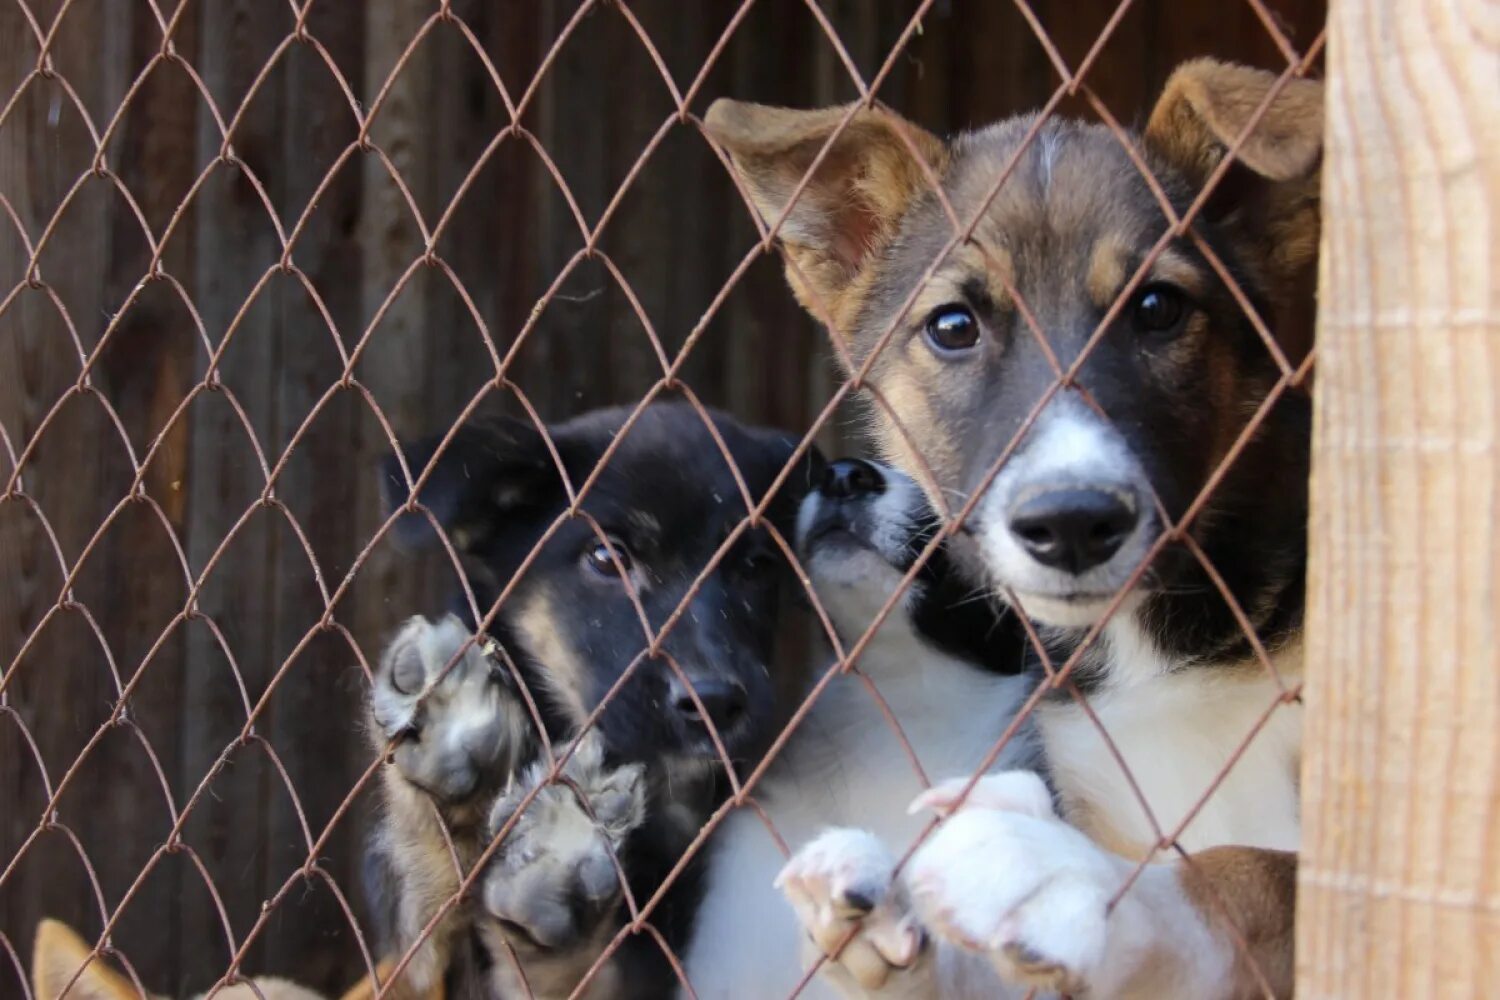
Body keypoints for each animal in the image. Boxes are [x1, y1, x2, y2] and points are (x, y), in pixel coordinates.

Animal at [364, 401, 822, 1000]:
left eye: (755, 565)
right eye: (607, 558)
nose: (714, 703)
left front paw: (557, 863)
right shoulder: (404, 970)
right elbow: (422, 929)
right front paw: (453, 739)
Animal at [708, 58, 1320, 995]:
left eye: (1158, 308)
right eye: (953, 326)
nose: (1071, 523)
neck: (1159, 656)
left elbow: (1246, 875)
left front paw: (1071, 880)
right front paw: (886, 928)